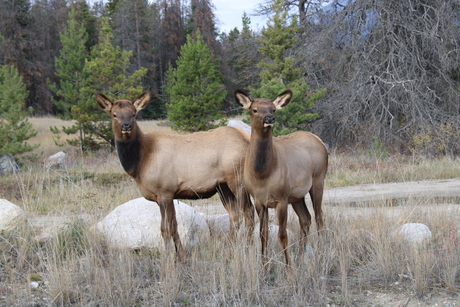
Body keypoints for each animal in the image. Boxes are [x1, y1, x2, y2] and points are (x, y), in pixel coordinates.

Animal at [97, 93, 255, 260]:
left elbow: (166, 228)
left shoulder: (165, 192)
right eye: (114, 114)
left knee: (249, 212)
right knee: (235, 214)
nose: (126, 126)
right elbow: (172, 226)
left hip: (237, 179)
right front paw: (181, 256)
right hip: (223, 186)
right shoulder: (164, 196)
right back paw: (228, 250)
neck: (140, 161)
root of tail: (246, 139)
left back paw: (248, 249)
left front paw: (169, 258)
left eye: (133, 114)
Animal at [235, 88, 328, 268]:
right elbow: (263, 234)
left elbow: (282, 235)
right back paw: (300, 257)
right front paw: (264, 267)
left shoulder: (281, 198)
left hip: (318, 180)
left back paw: (321, 254)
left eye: (273, 109)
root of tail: (318, 140)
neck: (262, 174)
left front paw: (288, 269)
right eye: (254, 109)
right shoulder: (259, 201)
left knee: (319, 217)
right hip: (297, 196)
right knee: (306, 219)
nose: (270, 118)